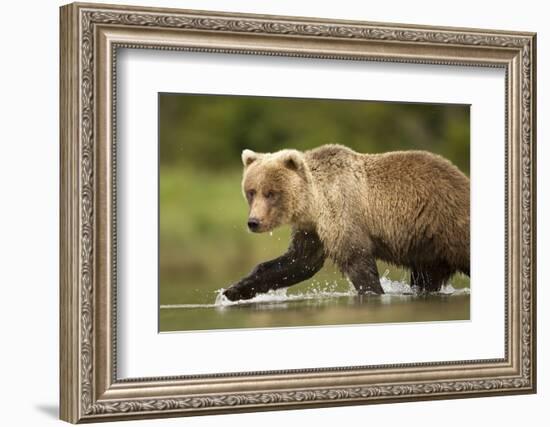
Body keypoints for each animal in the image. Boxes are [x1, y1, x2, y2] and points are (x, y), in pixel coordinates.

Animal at [223, 144, 470, 300]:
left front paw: (373, 291)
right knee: (426, 277)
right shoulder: (312, 229)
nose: (254, 222)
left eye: (271, 193)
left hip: (447, 224)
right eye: (251, 191)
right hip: (427, 246)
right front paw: (232, 291)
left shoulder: (342, 212)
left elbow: (356, 260)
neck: (313, 203)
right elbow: (298, 262)